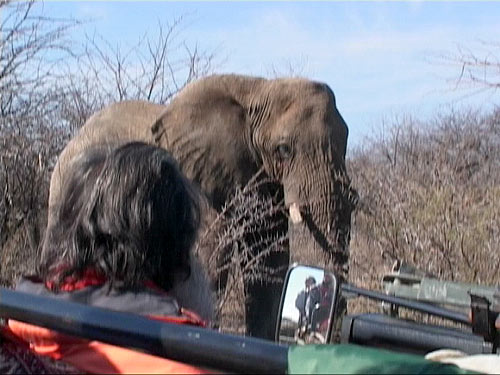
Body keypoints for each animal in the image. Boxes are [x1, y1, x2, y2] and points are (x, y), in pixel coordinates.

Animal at [45, 74, 354, 340]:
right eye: (284, 149)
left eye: (346, 141)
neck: (258, 89)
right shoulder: (199, 176)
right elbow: (211, 252)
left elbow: (271, 257)